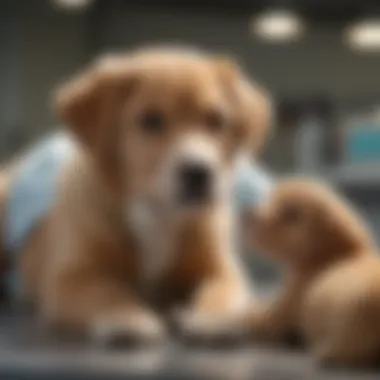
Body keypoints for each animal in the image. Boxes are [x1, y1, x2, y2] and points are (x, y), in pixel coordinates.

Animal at [0, 46, 272, 344]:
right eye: (150, 120)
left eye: (216, 120)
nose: (199, 173)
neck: (157, 213)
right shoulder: (70, 277)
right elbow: (106, 292)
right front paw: (126, 316)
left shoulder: (221, 267)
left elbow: (223, 290)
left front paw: (215, 318)